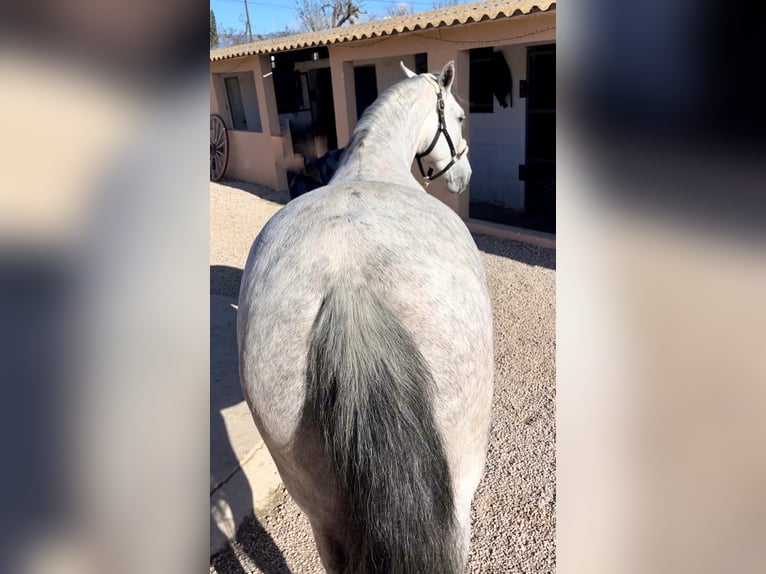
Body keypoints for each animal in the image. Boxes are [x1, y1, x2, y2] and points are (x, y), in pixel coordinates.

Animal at [237, 60, 496, 572]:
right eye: (459, 116)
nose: (463, 177)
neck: (372, 162)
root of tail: (349, 282)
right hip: (460, 489)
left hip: (318, 508)